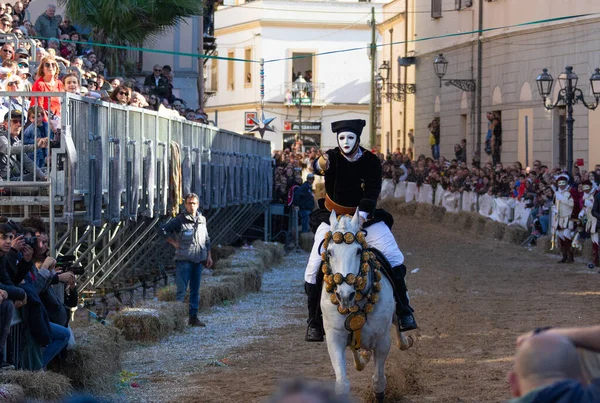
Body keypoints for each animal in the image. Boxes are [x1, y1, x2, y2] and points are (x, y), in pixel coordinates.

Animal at [324, 210, 412, 402]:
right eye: (330, 252)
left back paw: (406, 340)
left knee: (399, 327)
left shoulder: (382, 340)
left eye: (358, 251)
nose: (345, 295)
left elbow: (378, 381)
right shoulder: (334, 338)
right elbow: (342, 383)